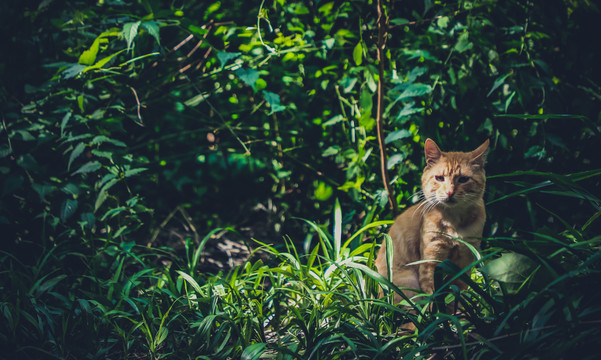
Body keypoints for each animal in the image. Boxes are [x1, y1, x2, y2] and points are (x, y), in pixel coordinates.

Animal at [378, 139, 490, 302]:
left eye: (463, 179)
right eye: (439, 178)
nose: (449, 192)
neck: (453, 222)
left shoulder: (464, 264)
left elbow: (456, 300)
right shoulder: (430, 263)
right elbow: (434, 300)